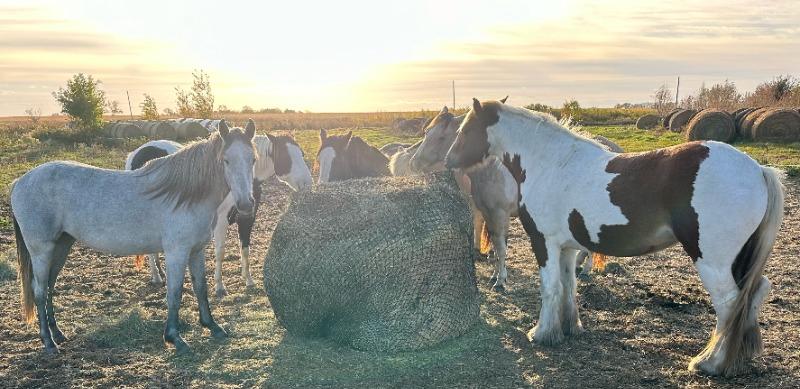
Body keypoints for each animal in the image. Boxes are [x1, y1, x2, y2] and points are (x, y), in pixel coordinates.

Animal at [126, 129, 310, 296]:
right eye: (286, 157)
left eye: (301, 154)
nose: (307, 183)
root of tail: (138, 152)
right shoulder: (221, 221)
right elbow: (220, 252)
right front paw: (220, 286)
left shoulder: (247, 218)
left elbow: (245, 248)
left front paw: (248, 280)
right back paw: (156, 276)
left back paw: (160, 272)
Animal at [446, 98, 784, 376]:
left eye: (466, 129)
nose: (449, 160)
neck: (551, 163)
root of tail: (758, 170)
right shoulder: (567, 247)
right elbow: (568, 286)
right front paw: (569, 327)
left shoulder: (544, 242)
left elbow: (549, 287)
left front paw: (541, 333)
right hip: (739, 260)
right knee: (754, 293)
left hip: (712, 261)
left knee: (729, 304)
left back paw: (710, 363)